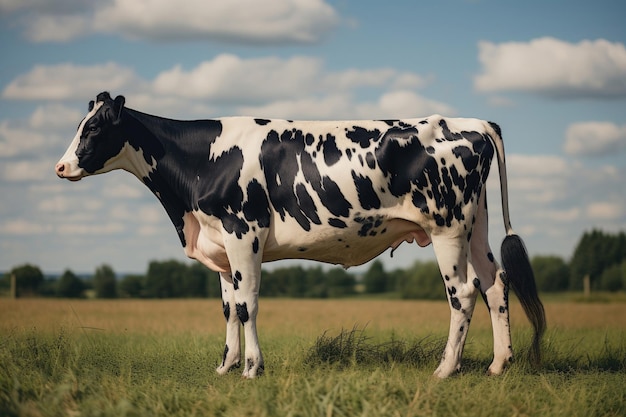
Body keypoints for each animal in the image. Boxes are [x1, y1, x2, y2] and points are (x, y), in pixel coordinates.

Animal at [54, 92, 540, 378]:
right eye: (80, 124)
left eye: (93, 127)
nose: (60, 166)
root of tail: (472, 121)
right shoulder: (220, 244)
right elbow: (228, 308)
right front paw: (225, 366)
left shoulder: (243, 231)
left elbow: (247, 305)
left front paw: (252, 368)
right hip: (476, 226)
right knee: (495, 283)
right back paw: (499, 364)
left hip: (446, 227)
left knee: (464, 292)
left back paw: (446, 369)